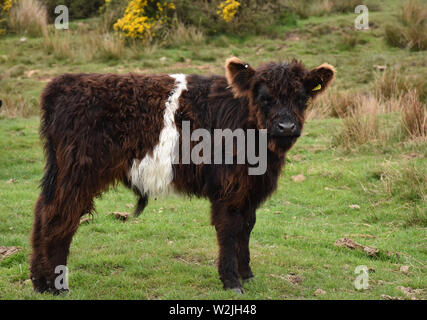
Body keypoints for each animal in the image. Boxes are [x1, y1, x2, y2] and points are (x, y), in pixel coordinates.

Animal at [31, 57, 336, 292]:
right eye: (264, 97)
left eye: (302, 98)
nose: (286, 126)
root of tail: (64, 83)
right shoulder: (228, 188)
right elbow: (229, 229)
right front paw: (231, 281)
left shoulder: (249, 189)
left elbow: (247, 227)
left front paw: (247, 274)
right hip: (77, 174)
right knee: (59, 217)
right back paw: (55, 286)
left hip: (61, 173)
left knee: (42, 211)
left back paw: (37, 280)